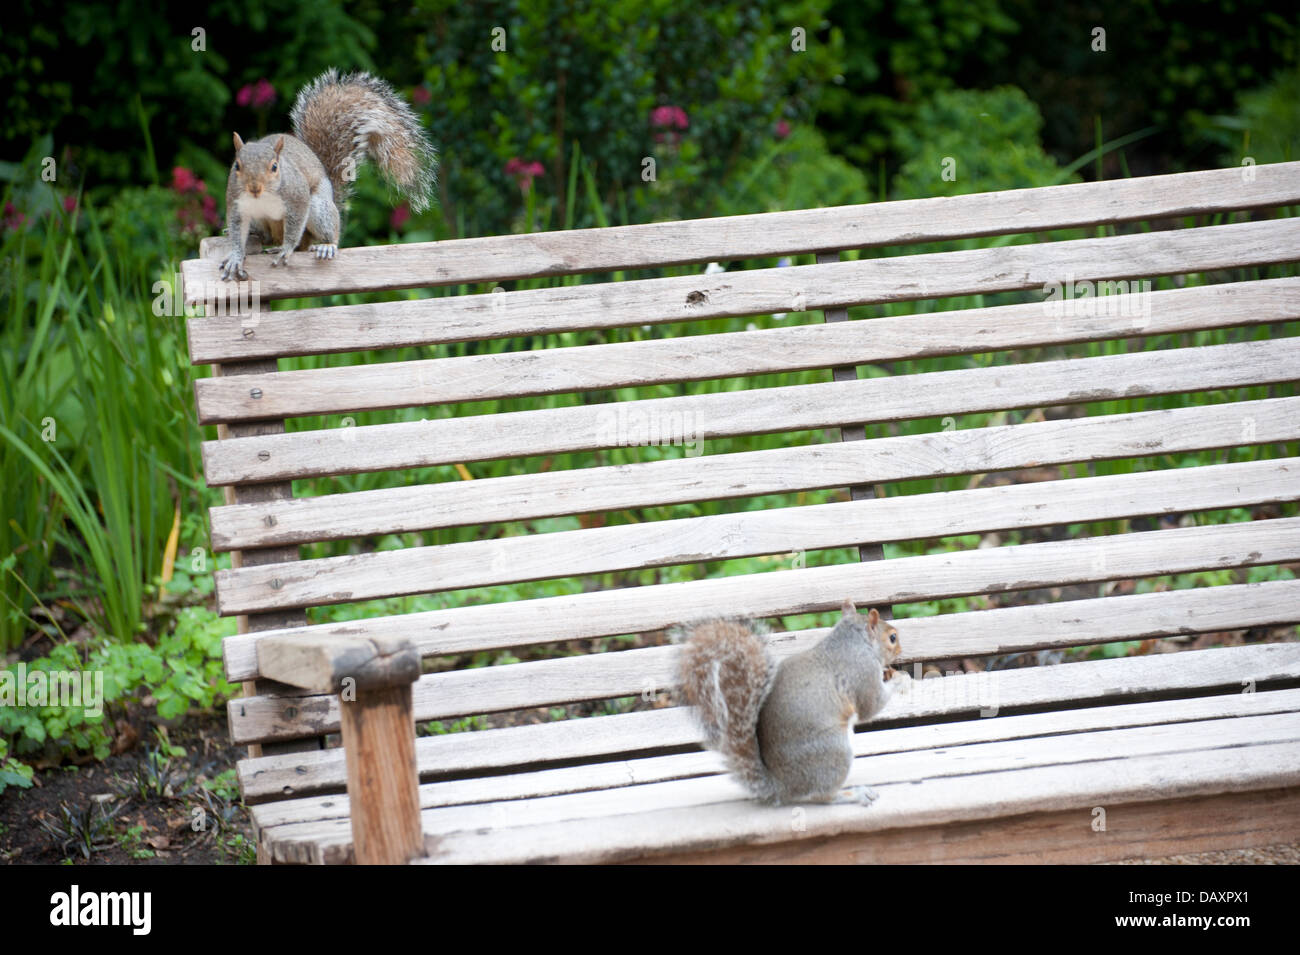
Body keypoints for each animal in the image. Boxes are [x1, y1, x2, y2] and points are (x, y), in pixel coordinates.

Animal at [219, 69, 438, 281]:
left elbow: (295, 225)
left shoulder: (298, 195)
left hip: (318, 208)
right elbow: (237, 229)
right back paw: (255, 234)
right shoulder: (236, 201)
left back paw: (325, 245)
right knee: (267, 237)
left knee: (322, 235)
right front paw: (235, 257)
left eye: (274, 167)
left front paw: (286, 249)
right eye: (237, 165)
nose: (254, 188)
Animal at [673, 599, 910, 806]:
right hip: (834, 750)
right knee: (822, 795)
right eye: (892, 638)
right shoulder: (862, 672)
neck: (854, 642)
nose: (901, 650)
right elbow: (871, 706)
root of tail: (784, 787)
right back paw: (853, 794)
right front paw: (902, 679)